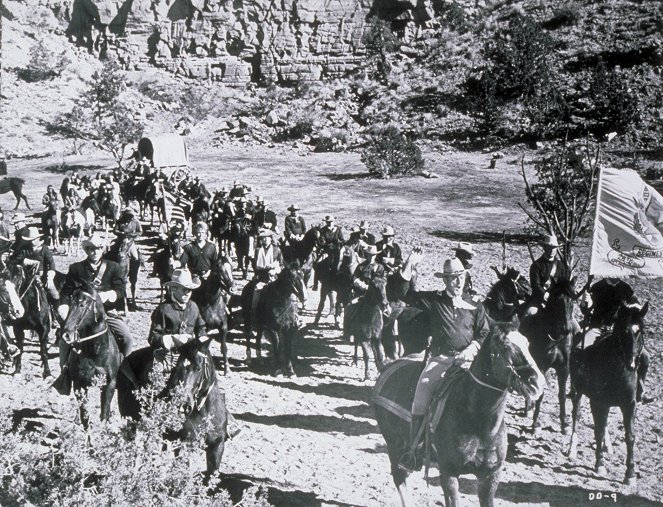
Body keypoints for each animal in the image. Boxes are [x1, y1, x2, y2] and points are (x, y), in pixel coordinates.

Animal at [56, 288, 121, 426]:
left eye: (82, 304)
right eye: (70, 303)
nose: (66, 335)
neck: (95, 354)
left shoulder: (110, 384)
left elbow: (105, 412)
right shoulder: (80, 385)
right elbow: (84, 413)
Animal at [119, 340, 231, 478]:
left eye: (198, 368)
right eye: (177, 367)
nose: (183, 403)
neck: (204, 413)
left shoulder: (217, 446)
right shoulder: (184, 445)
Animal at [374, 322, 544, 507]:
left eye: (527, 343)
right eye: (506, 346)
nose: (537, 382)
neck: (477, 420)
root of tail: (389, 368)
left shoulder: (490, 476)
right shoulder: (449, 473)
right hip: (393, 444)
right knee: (399, 477)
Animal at [520, 276, 576, 434]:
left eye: (573, 299)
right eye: (556, 299)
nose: (566, 329)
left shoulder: (564, 368)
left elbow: (562, 395)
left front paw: (564, 424)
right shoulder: (542, 367)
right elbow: (541, 394)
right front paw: (535, 424)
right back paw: (528, 408)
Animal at [564, 304, 648, 486]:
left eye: (641, 330)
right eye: (623, 331)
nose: (632, 364)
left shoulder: (629, 405)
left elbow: (630, 436)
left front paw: (630, 474)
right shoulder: (598, 402)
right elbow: (598, 431)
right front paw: (600, 465)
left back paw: (606, 445)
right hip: (578, 391)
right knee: (577, 414)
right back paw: (572, 449)